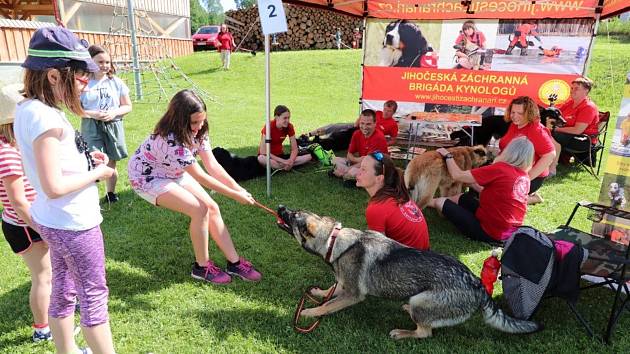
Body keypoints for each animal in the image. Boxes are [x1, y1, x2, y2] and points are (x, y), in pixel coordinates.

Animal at [278, 206, 544, 338]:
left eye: (292, 215)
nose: (280, 206)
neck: (336, 242)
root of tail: (477, 284)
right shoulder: (344, 284)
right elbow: (329, 292)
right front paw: (318, 293)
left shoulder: (352, 294)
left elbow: (326, 306)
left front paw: (309, 312)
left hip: (421, 302)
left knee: (425, 333)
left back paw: (401, 332)